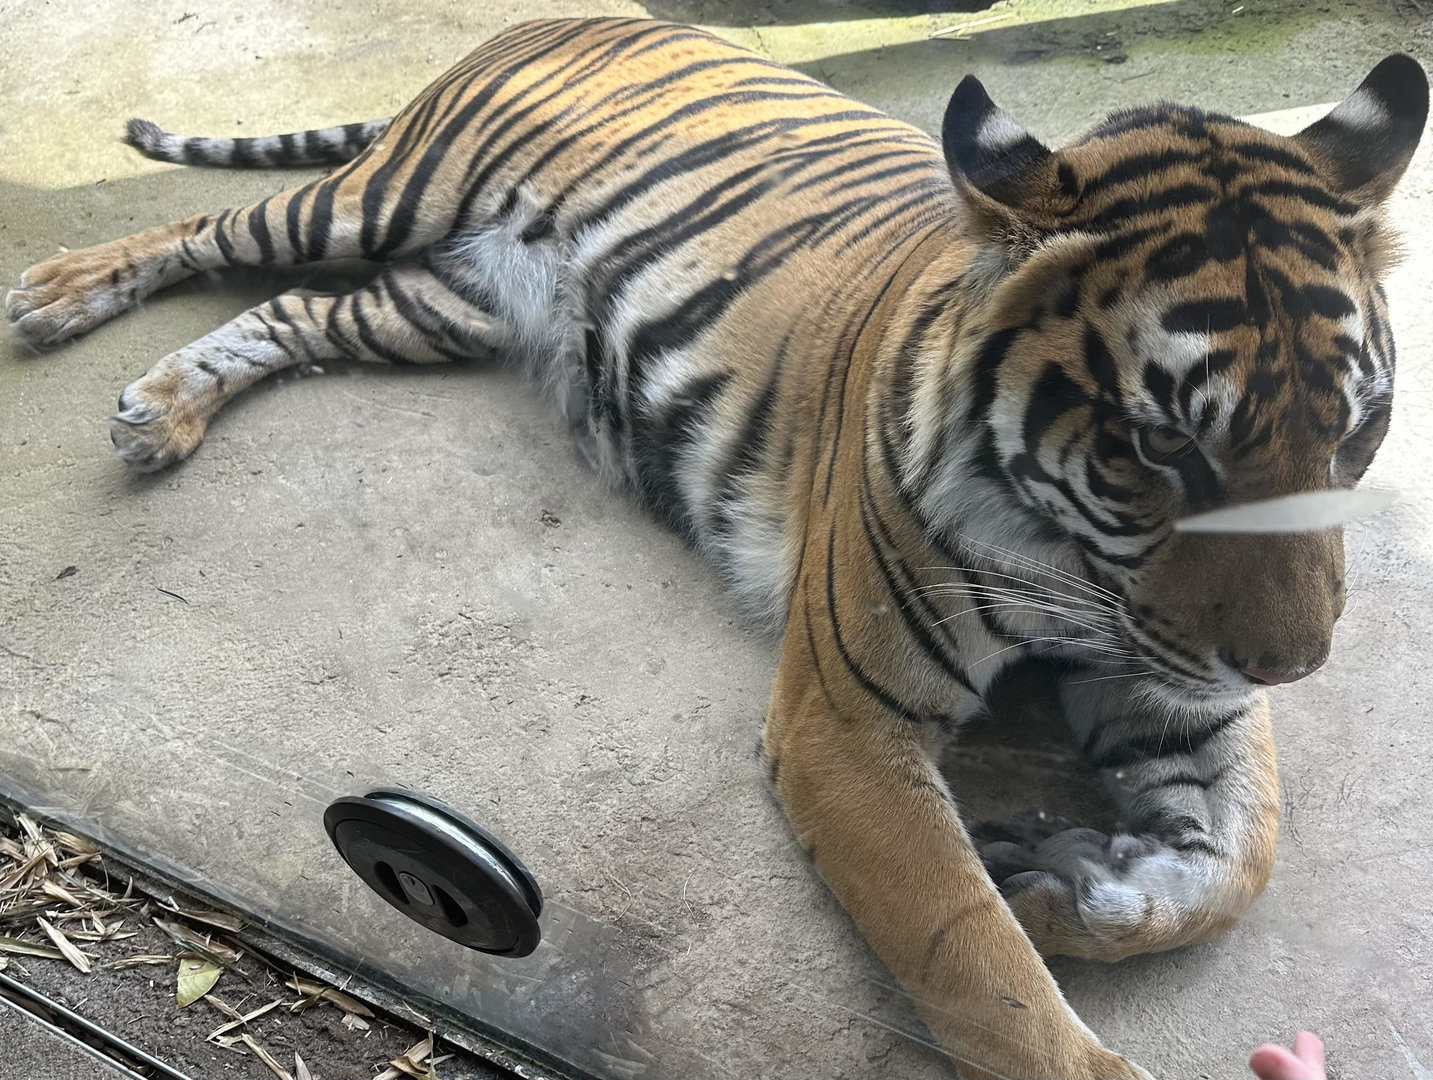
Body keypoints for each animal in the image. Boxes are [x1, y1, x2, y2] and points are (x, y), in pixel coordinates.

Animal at [6, 18, 1426, 1079]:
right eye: (1158, 446)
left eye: (1357, 429)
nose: (1295, 665)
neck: (1070, 552)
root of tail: (594, 14)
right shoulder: (843, 721)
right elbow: (978, 966)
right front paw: (1033, 930)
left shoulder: (1174, 673)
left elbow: (1239, 861)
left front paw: (1077, 884)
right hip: (380, 198)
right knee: (212, 236)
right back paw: (59, 298)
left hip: (439, 302)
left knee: (294, 315)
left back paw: (164, 410)